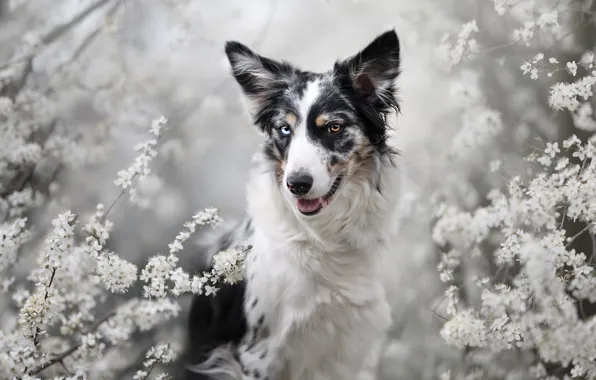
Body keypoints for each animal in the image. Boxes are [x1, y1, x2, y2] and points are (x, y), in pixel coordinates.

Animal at [184, 28, 402, 378]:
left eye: (334, 127)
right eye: (284, 129)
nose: (297, 185)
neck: (324, 237)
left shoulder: (355, 341)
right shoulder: (255, 354)